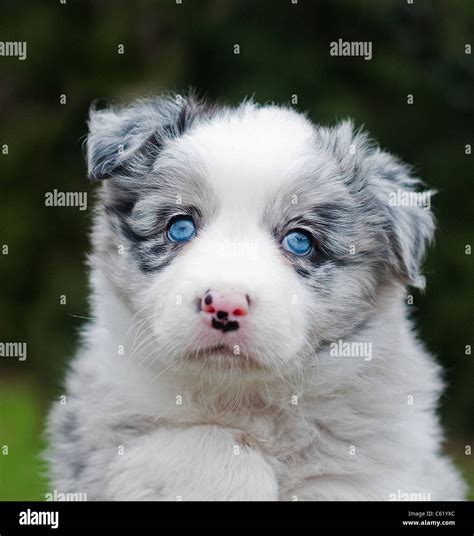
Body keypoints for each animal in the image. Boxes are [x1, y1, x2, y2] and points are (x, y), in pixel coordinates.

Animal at [46, 94, 464, 500]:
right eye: (179, 227)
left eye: (300, 241)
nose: (224, 304)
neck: (241, 398)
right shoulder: (100, 439)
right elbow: (210, 446)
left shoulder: (376, 470)